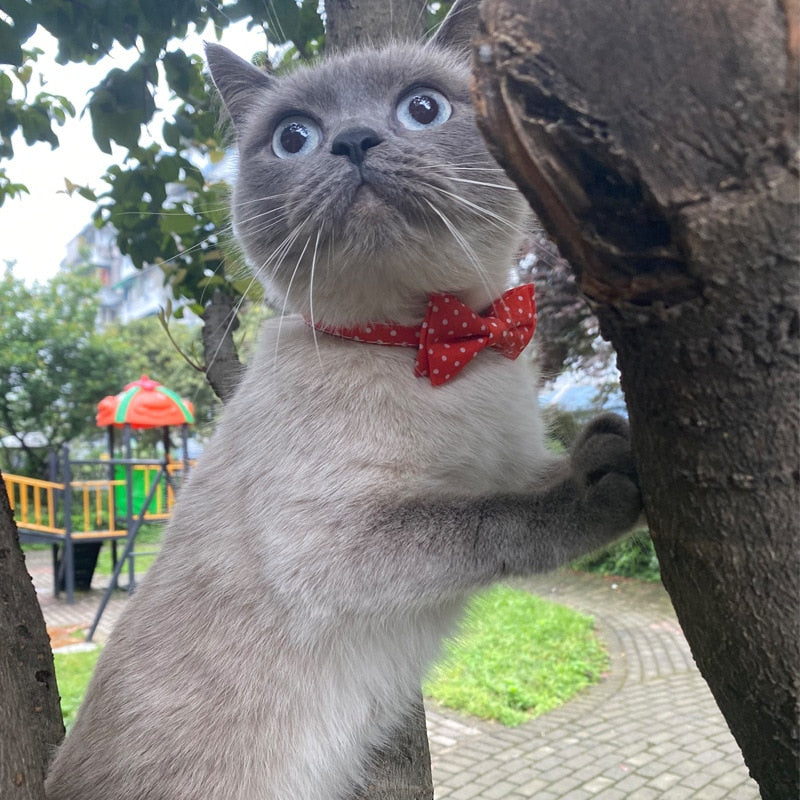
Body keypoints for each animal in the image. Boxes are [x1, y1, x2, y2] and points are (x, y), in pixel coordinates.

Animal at [45, 3, 644, 796]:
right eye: (294, 137)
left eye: (423, 109)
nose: (354, 140)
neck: (425, 342)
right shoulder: (336, 539)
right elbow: (493, 518)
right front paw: (602, 487)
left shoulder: (511, 459)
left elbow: (526, 479)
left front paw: (609, 441)